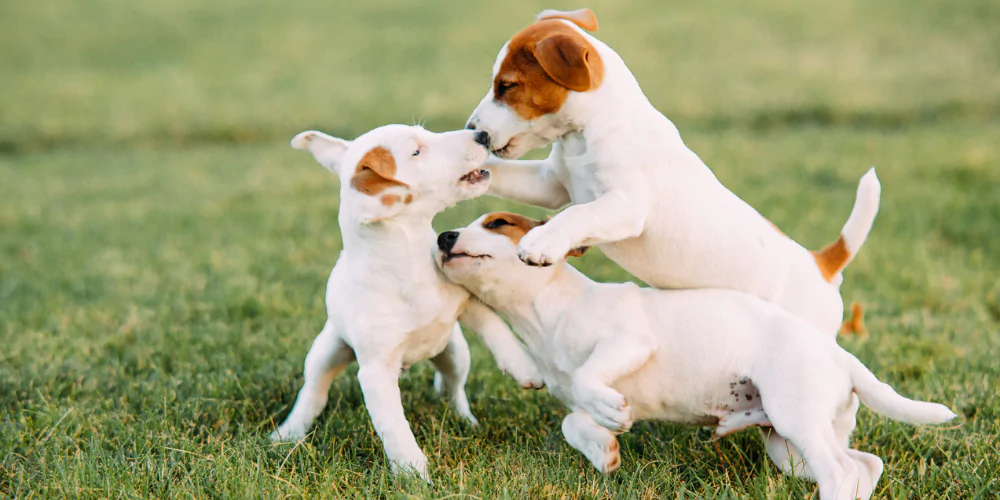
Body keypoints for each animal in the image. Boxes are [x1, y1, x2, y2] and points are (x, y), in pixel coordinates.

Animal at [270, 125, 544, 480]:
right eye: (416, 151)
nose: (481, 134)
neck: (409, 261)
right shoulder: (375, 372)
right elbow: (394, 426)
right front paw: (413, 473)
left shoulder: (466, 301)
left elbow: (495, 327)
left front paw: (524, 366)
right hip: (326, 352)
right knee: (313, 392)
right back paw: (288, 433)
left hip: (455, 352)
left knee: (452, 387)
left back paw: (464, 419)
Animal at [436, 211, 952, 500]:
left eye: (498, 223)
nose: (442, 237)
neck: (547, 312)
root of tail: (839, 356)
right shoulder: (577, 400)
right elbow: (573, 421)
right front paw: (604, 451)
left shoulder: (631, 340)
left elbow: (590, 378)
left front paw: (608, 420)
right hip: (788, 443)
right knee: (864, 466)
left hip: (796, 419)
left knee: (840, 472)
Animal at [464, 9, 880, 340]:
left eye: (507, 86)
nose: (474, 130)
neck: (588, 132)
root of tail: (821, 264)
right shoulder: (551, 184)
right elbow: (509, 175)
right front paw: (465, 167)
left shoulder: (626, 206)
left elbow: (578, 213)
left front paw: (543, 242)